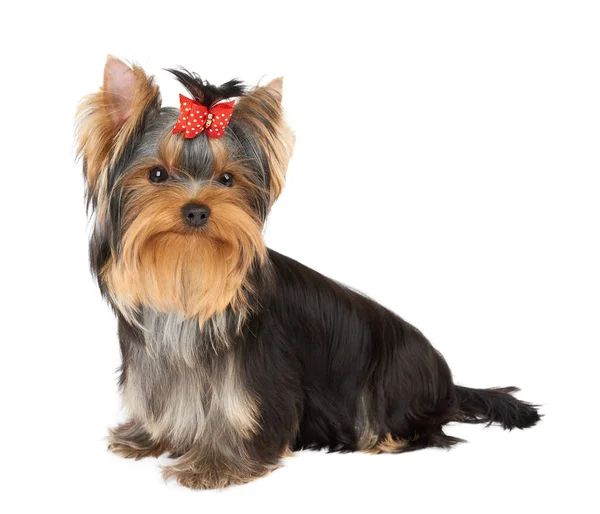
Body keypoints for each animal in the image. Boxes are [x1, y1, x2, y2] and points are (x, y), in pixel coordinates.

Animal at [75, 56, 540, 488]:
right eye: (156, 174)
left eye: (227, 179)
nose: (197, 210)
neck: (190, 275)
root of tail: (446, 382)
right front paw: (147, 437)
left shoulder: (259, 375)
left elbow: (242, 408)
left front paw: (217, 464)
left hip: (393, 382)